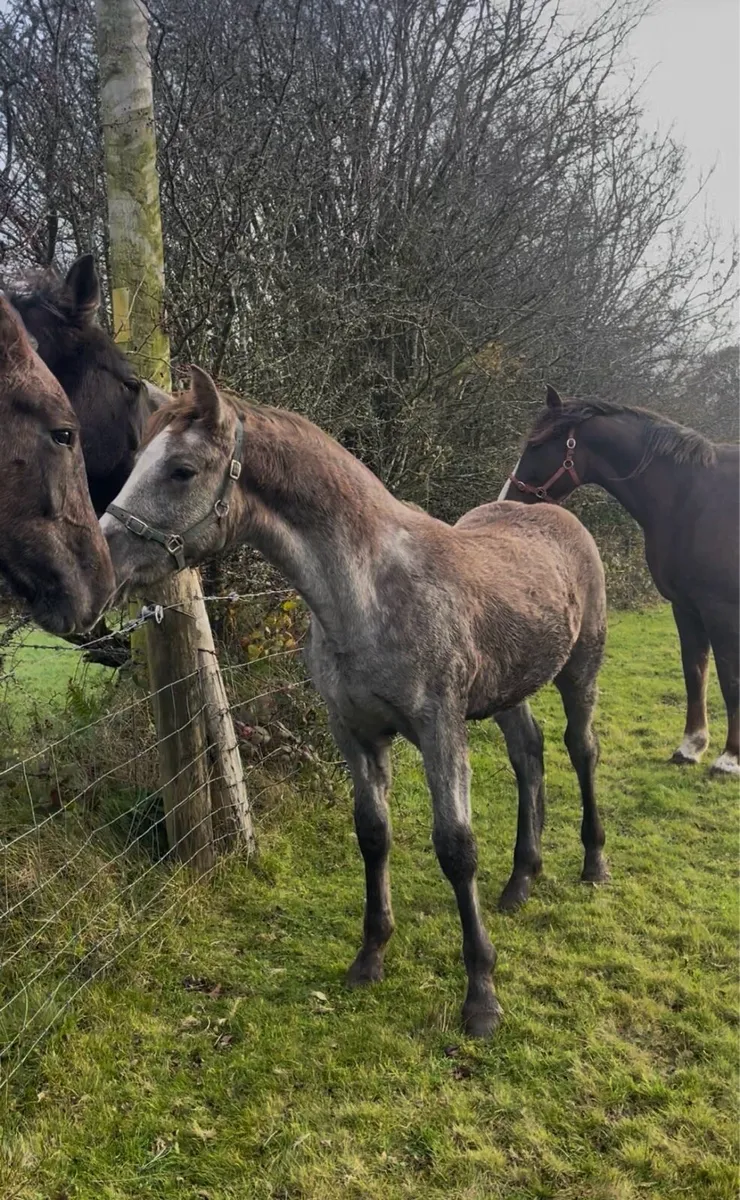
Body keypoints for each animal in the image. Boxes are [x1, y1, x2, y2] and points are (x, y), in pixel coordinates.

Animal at [100, 367, 608, 1038]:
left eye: (181, 470)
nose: (103, 557)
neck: (366, 591)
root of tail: (556, 516)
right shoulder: (354, 731)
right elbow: (373, 834)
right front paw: (370, 957)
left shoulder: (441, 729)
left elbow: (457, 849)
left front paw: (481, 995)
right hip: (508, 691)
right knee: (530, 756)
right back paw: (521, 880)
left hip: (579, 672)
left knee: (582, 749)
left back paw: (593, 863)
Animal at [499, 385, 740, 778]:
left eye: (536, 445)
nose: (509, 499)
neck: (691, 498)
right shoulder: (685, 607)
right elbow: (695, 673)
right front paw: (691, 747)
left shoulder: (721, 611)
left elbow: (730, 680)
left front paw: (729, 758)